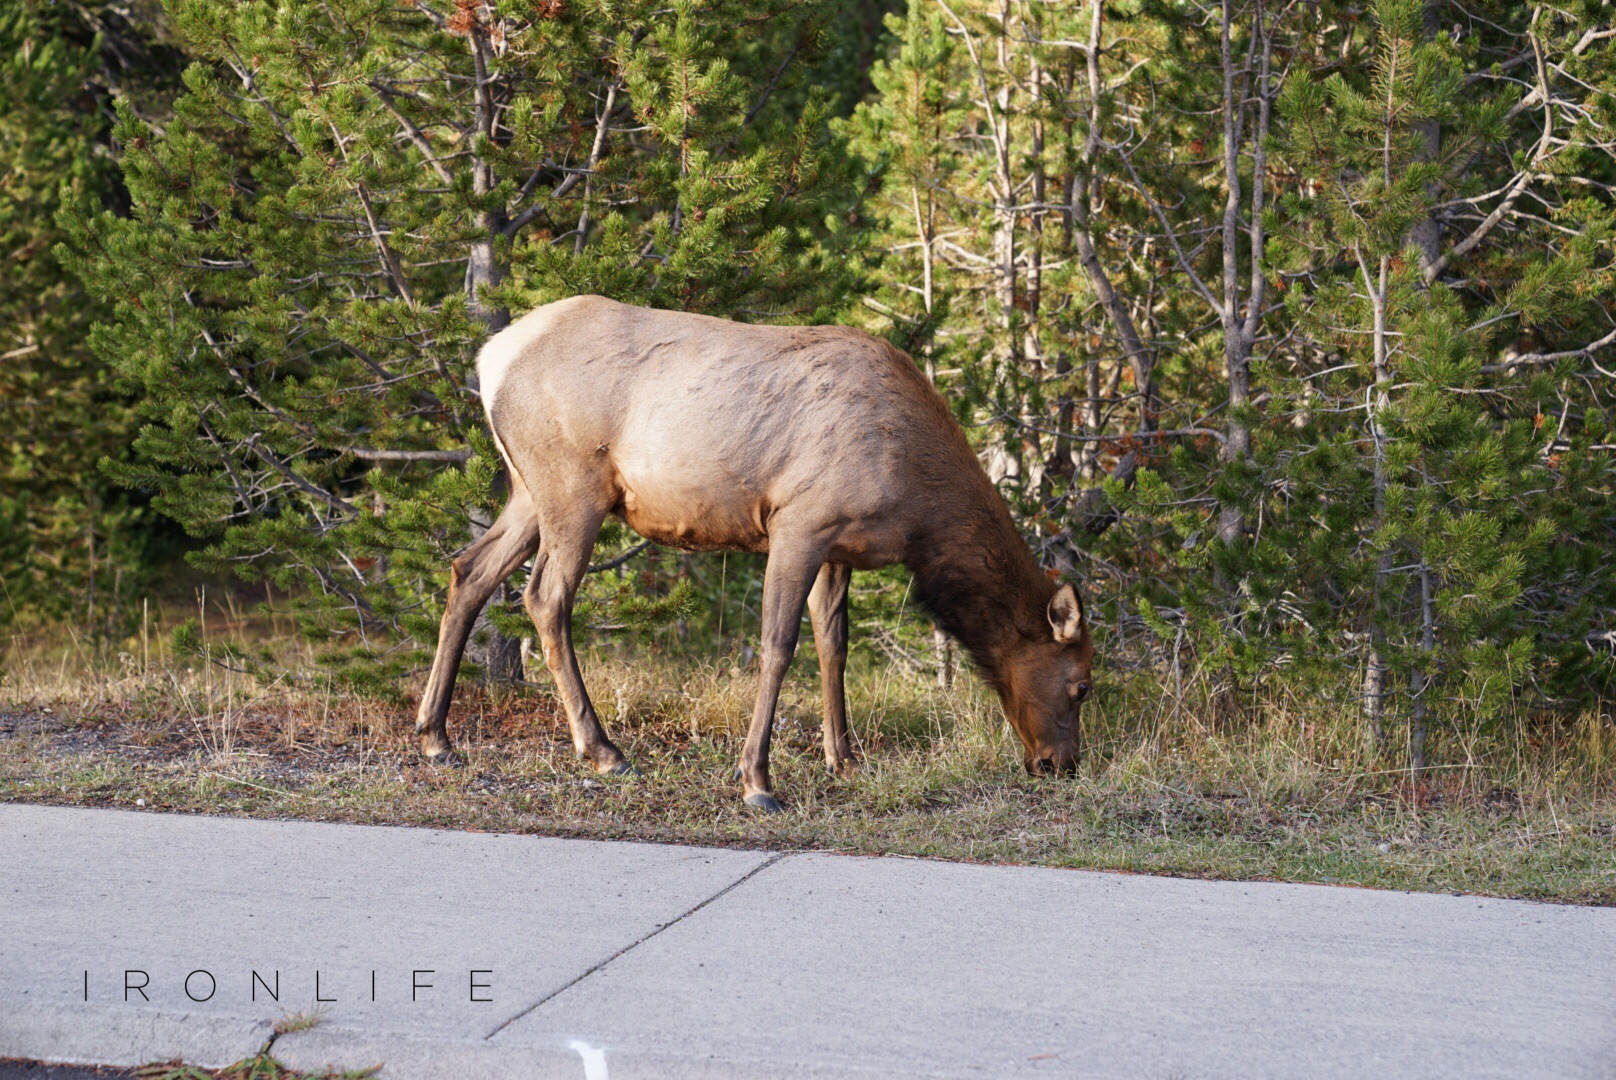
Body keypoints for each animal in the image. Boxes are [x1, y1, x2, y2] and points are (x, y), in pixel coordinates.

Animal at [416, 295, 1098, 808]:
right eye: (1083, 685)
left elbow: (833, 645)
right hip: (572, 485)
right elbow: (778, 646)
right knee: (544, 597)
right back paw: (604, 751)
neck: (919, 510)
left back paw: (436, 737)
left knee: (469, 570)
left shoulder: (840, 547)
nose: (1061, 765)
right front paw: (757, 780)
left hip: (527, 489)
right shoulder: (800, 522)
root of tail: (490, 359)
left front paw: (844, 758)